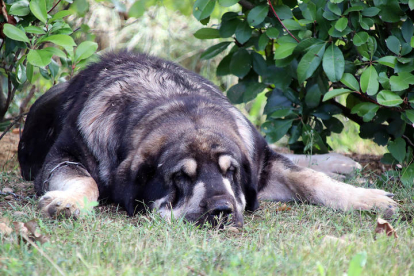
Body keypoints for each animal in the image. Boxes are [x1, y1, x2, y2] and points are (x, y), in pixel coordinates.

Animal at [17, 51, 398, 226]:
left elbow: (311, 181)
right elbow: (86, 180)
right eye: (180, 178)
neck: (167, 100)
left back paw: (340, 163)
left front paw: (368, 199)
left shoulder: (258, 165)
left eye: (231, 172)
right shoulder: (65, 156)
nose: (221, 210)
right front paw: (68, 201)